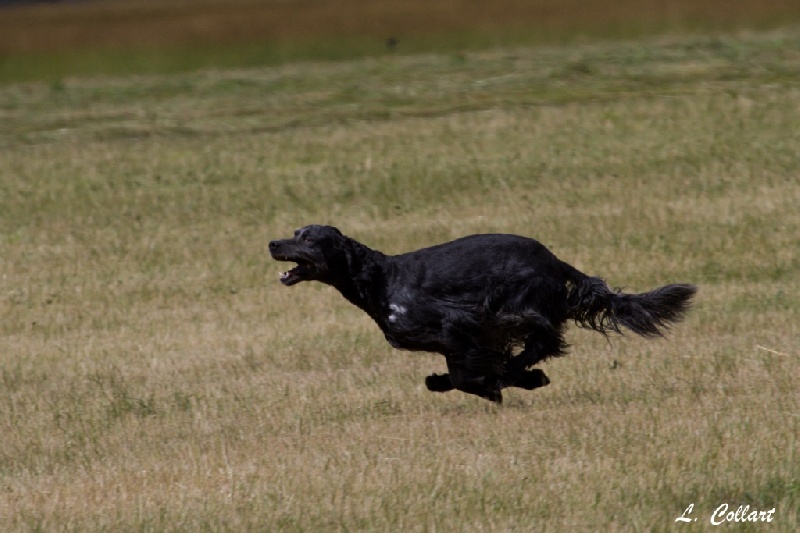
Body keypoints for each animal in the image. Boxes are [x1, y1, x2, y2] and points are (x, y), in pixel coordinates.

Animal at [268, 224, 692, 404]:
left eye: (308, 238)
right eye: (295, 231)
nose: (272, 243)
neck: (380, 280)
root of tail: (554, 261)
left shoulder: (462, 324)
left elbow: (467, 375)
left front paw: (495, 387)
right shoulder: (459, 339)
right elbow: (462, 372)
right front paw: (452, 382)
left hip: (518, 306)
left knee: (543, 341)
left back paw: (518, 375)